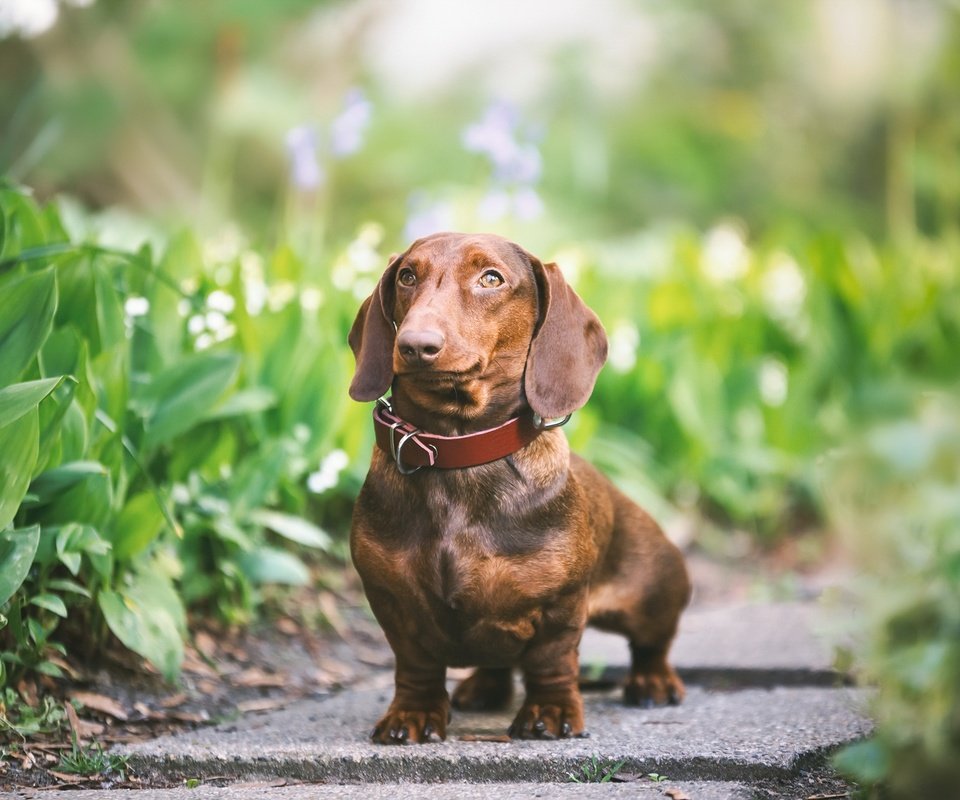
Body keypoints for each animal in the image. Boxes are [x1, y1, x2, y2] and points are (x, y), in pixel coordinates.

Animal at [344, 231, 688, 744]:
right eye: (407, 276)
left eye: (491, 278)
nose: (415, 344)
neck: (459, 452)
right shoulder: (392, 603)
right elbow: (416, 665)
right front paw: (412, 713)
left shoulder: (560, 605)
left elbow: (551, 661)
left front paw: (551, 711)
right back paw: (481, 686)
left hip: (653, 595)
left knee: (653, 644)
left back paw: (653, 681)